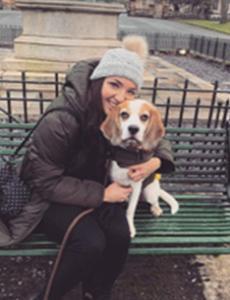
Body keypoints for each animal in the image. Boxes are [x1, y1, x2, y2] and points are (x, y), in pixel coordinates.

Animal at [101, 99, 180, 238]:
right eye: (124, 114)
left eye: (144, 117)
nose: (133, 128)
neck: (127, 155)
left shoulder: (136, 187)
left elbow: (130, 210)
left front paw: (130, 228)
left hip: (149, 191)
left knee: (154, 201)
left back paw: (156, 208)